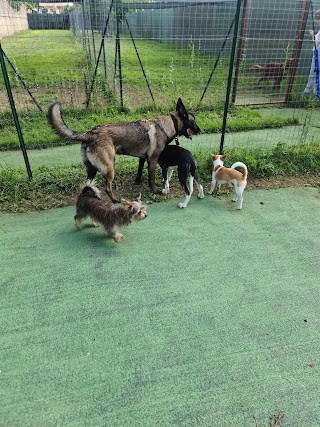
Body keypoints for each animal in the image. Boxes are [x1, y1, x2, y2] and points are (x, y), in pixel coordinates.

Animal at [47, 99, 200, 203]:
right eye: (194, 121)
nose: (199, 130)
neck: (168, 124)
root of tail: (89, 133)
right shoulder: (152, 160)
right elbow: (151, 178)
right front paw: (156, 190)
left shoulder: (142, 158)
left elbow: (139, 172)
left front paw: (137, 182)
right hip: (110, 167)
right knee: (107, 188)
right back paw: (115, 200)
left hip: (92, 170)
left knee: (87, 185)